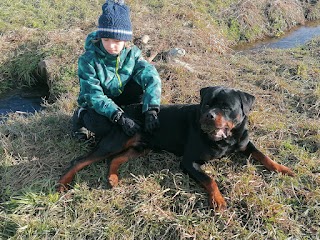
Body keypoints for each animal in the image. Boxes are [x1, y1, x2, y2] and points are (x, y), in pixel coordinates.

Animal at [58, 86, 296, 210]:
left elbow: (263, 155)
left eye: (227, 107)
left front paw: (284, 169)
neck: (224, 139)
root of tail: (122, 111)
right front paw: (218, 200)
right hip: (115, 141)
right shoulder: (189, 161)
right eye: (206, 104)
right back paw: (62, 184)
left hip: (140, 148)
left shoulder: (245, 143)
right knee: (81, 160)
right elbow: (210, 179)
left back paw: (113, 178)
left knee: (114, 159)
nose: (209, 116)